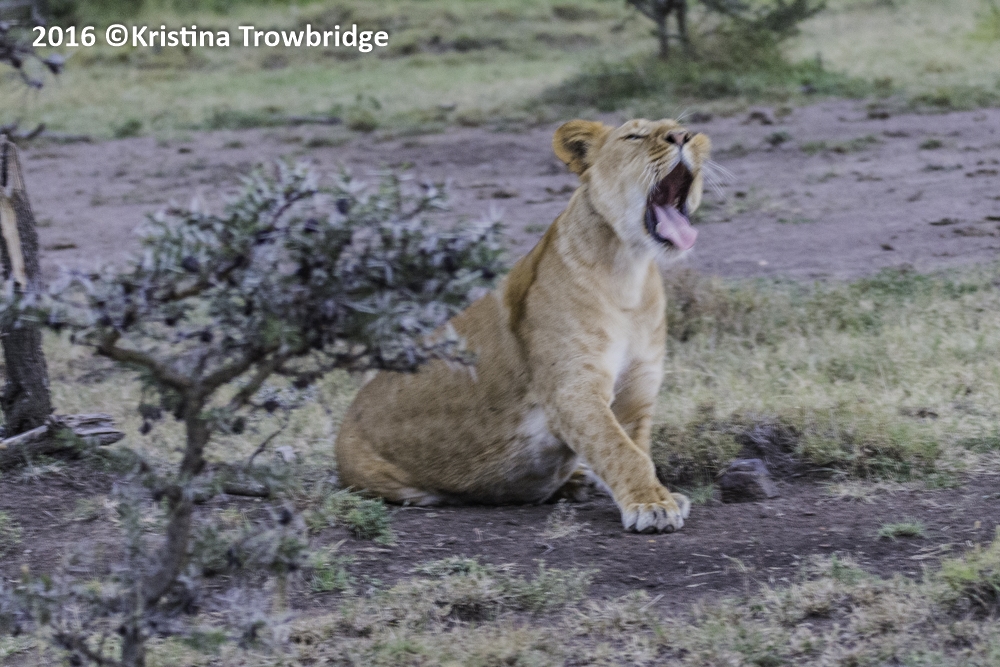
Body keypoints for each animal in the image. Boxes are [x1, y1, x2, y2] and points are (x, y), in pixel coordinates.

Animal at [335, 117, 711, 533]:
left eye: (682, 128)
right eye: (635, 135)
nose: (683, 137)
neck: (630, 271)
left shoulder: (637, 390)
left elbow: (634, 446)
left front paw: (660, 494)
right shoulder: (572, 390)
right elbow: (618, 448)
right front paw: (652, 505)